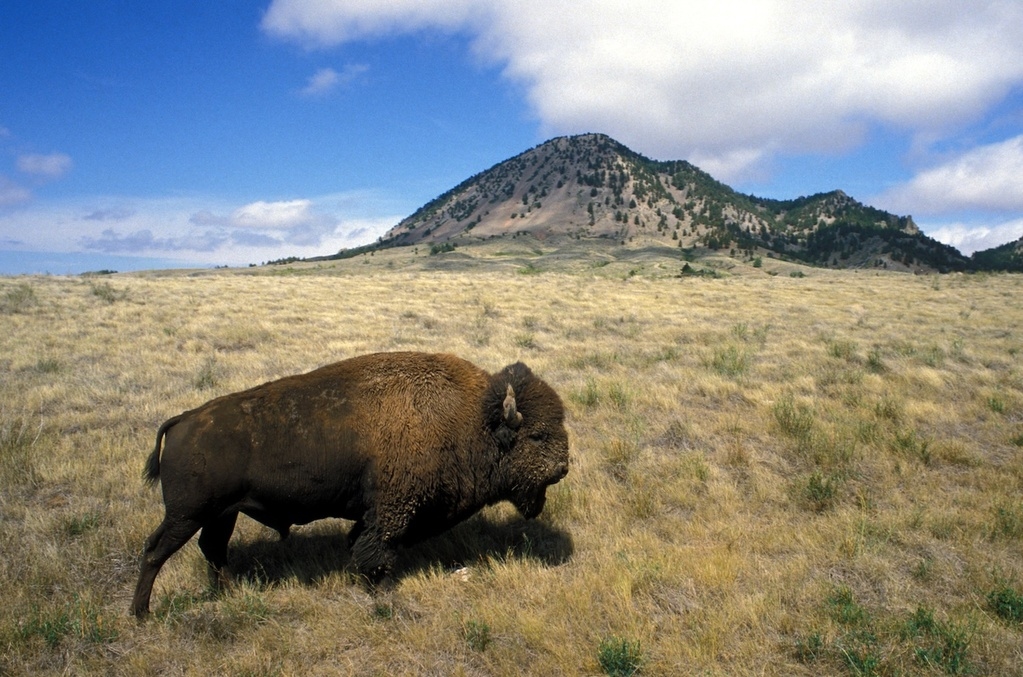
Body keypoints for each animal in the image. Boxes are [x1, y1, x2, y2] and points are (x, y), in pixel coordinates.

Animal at [129, 355, 568, 621]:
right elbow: (377, 551)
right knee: (156, 551)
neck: (472, 419)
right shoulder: (392, 511)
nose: (563, 468)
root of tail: (184, 419)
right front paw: (382, 592)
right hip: (188, 514)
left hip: (221, 514)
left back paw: (230, 592)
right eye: (537, 436)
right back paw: (141, 613)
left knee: (213, 549)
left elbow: (361, 541)